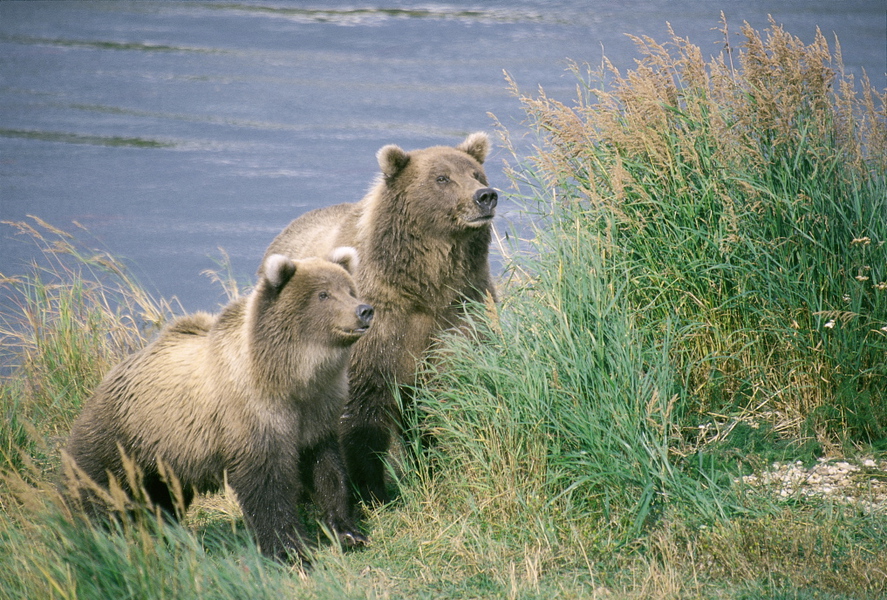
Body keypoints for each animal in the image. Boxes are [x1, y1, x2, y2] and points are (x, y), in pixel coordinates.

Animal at [62, 247, 374, 564]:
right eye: (323, 294)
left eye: (349, 289)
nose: (364, 310)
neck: (289, 377)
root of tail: (109, 375)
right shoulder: (252, 413)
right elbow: (267, 486)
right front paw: (290, 550)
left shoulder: (318, 411)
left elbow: (328, 469)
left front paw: (348, 532)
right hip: (123, 434)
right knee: (98, 485)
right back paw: (93, 532)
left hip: (167, 453)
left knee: (162, 497)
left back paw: (164, 530)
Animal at [264, 132, 500, 506]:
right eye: (442, 178)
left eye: (477, 174)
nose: (485, 196)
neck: (424, 287)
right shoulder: (376, 325)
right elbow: (364, 412)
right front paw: (372, 489)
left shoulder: (460, 311)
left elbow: (445, 391)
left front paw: (434, 468)